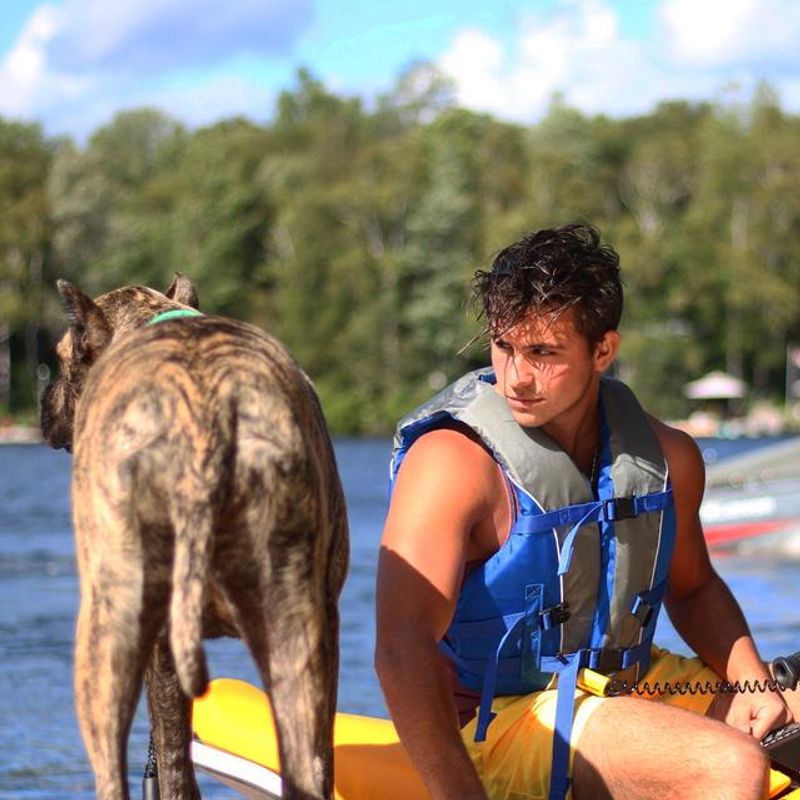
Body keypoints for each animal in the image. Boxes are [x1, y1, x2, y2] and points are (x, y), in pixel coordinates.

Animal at [39, 276, 346, 800]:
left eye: (63, 356)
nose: (44, 399)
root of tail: (209, 417)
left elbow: (170, 765)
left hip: (106, 634)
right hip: (294, 630)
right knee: (308, 769)